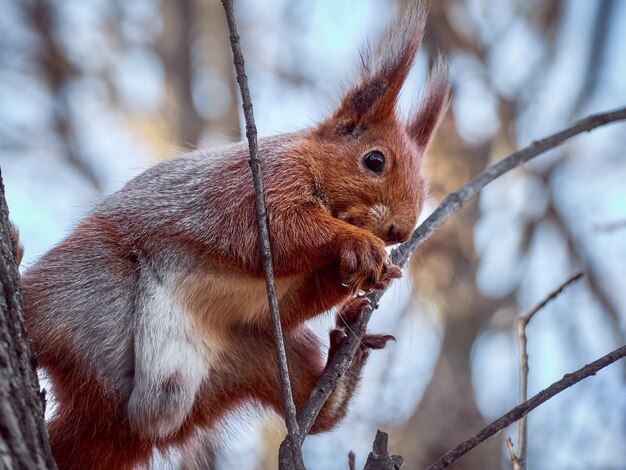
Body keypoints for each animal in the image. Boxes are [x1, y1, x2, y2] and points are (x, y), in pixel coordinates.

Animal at [18, 7, 448, 470]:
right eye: (374, 160)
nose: (400, 231)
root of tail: (118, 413)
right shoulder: (252, 188)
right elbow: (276, 233)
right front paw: (359, 244)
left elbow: (295, 302)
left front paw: (378, 272)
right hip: (80, 294)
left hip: (247, 360)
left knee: (315, 413)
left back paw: (346, 357)